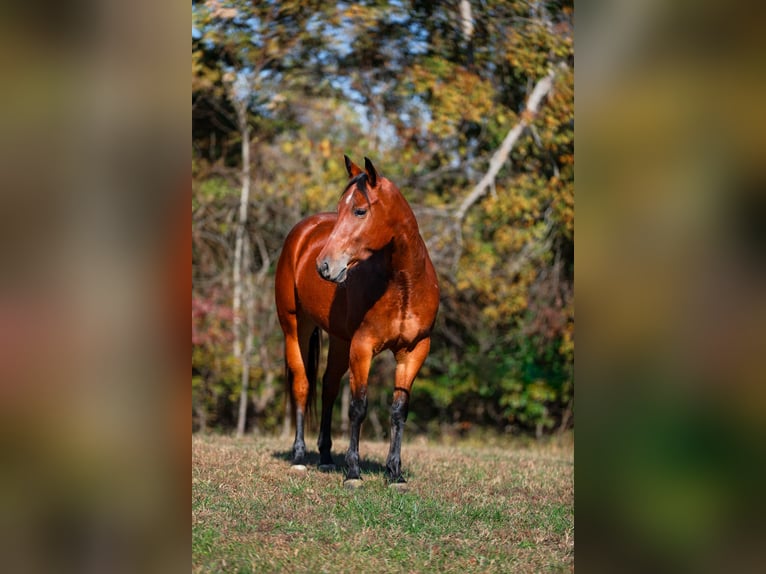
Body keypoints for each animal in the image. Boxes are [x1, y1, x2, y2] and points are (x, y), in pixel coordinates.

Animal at [274, 155, 440, 487]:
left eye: (360, 210)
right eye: (341, 208)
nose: (324, 266)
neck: (403, 287)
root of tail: (301, 235)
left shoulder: (414, 351)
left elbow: (399, 410)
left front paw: (395, 474)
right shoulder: (363, 347)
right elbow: (358, 407)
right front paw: (353, 472)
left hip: (339, 340)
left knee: (328, 386)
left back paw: (325, 457)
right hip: (295, 328)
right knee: (302, 384)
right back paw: (299, 457)